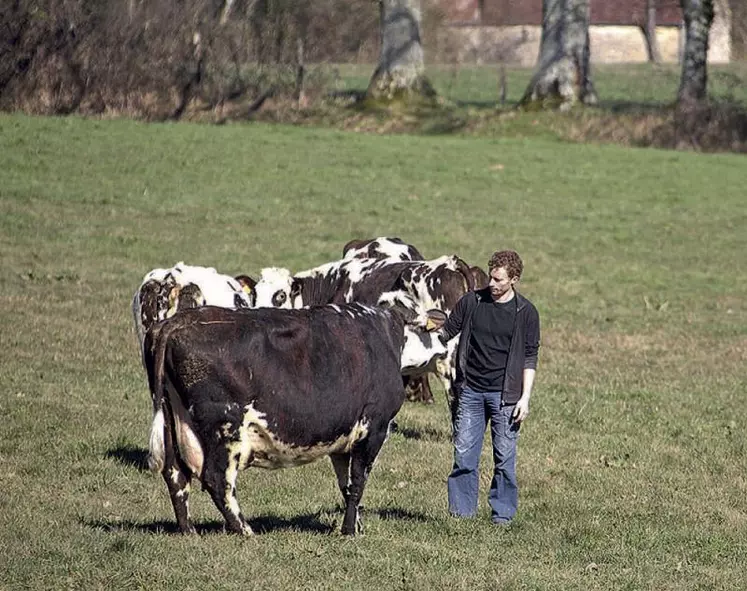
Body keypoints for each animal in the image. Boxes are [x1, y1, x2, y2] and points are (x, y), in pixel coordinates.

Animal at [143, 302, 448, 540]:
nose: (446, 347)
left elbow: (347, 485)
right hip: (225, 428)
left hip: (172, 420)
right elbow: (359, 481)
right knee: (217, 479)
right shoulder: (373, 426)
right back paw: (245, 530)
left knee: (175, 474)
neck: (390, 334)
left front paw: (356, 525)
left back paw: (189, 531)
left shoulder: (342, 435)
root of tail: (176, 321)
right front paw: (350, 531)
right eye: (439, 333)